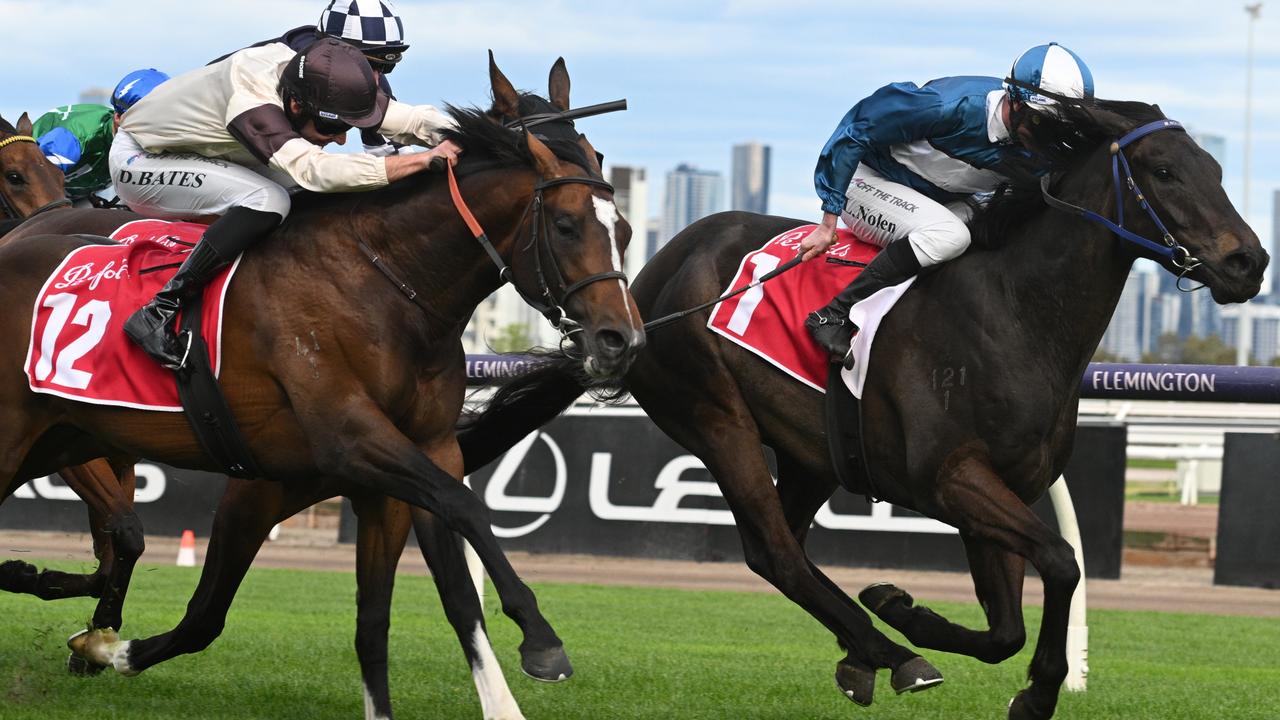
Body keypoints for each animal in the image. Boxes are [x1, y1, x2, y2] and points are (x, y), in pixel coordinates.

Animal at [0, 53, 640, 712]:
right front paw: (541, 639)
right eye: (565, 226)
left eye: (623, 228)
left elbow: (418, 605)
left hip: (63, 440)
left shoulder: (412, 459)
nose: (620, 339)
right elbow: (464, 507)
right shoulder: (348, 440)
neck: (387, 282)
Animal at [455, 98, 1264, 712]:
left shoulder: (997, 491)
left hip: (812, 450)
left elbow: (1005, 626)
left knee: (779, 547)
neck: (1015, 315)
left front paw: (907, 610)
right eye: (1165, 171)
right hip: (717, 417)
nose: (1248, 261)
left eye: (1218, 170)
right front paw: (1031, 689)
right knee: (777, 549)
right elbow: (1063, 562)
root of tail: (642, 289)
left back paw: (865, 652)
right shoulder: (952, 479)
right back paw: (889, 653)